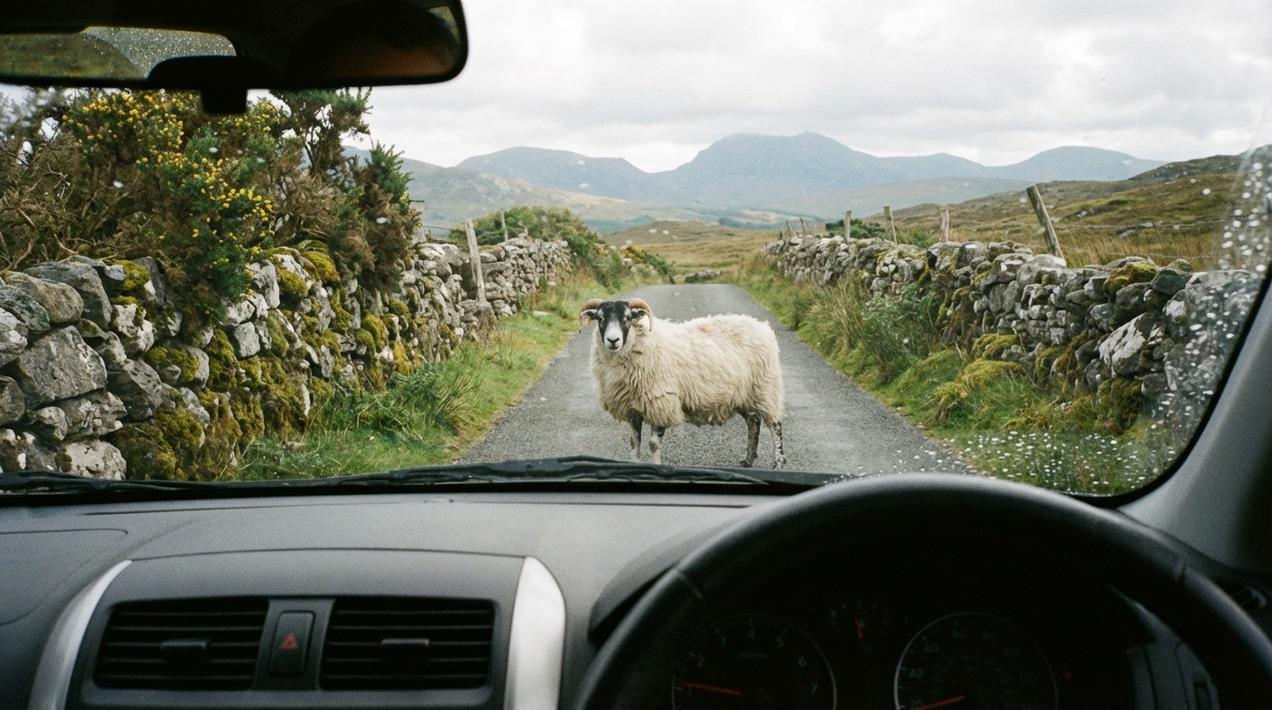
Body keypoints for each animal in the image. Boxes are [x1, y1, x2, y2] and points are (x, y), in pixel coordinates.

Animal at [579, 297, 787, 468]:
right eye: (600, 318)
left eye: (628, 318)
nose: (613, 340)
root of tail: (762, 326)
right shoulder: (633, 408)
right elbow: (634, 442)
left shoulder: (661, 403)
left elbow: (653, 444)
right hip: (742, 394)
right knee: (753, 422)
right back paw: (748, 459)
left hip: (765, 388)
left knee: (774, 425)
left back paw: (778, 463)